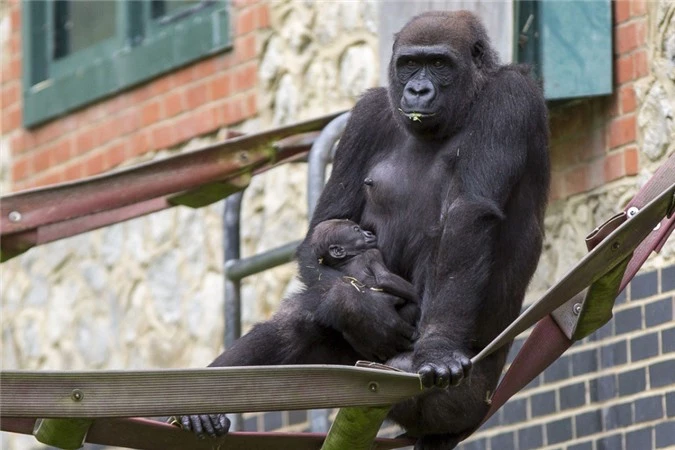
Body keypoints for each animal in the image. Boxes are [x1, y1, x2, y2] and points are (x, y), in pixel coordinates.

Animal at [184, 10, 548, 450]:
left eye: (439, 63)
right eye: (409, 63)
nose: (417, 89)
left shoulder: (510, 98)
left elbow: (468, 213)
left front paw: (439, 346)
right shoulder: (366, 114)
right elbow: (325, 225)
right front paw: (356, 308)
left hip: (464, 397)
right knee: (296, 320)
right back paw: (202, 406)